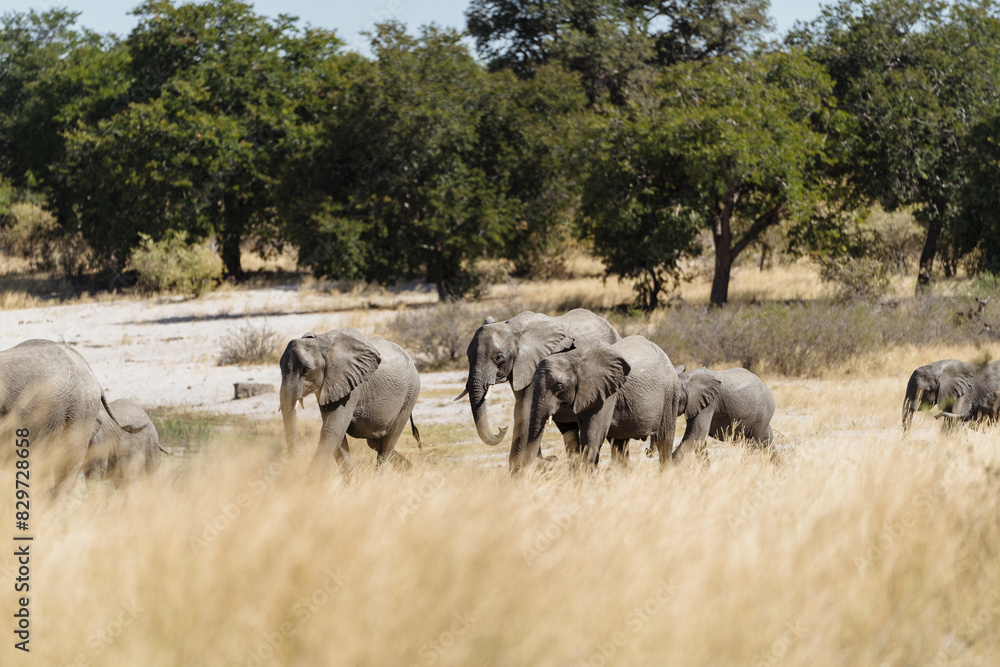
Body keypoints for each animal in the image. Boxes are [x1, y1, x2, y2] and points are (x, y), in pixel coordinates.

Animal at [279, 329, 421, 477]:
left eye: (306, 369)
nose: (294, 469)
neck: (322, 341)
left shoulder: (351, 386)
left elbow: (331, 431)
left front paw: (306, 483)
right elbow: (338, 436)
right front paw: (353, 481)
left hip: (410, 394)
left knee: (387, 444)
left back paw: (380, 477)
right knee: (375, 443)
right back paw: (413, 470)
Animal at [458, 308, 622, 472]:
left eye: (498, 357)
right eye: (468, 357)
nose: (502, 428)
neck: (513, 328)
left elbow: (525, 408)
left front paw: (519, 472)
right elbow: (523, 407)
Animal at [525, 336, 680, 469]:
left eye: (558, 387)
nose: (554, 458)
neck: (574, 358)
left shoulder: (607, 391)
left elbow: (592, 433)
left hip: (670, 395)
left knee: (664, 441)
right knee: (620, 444)